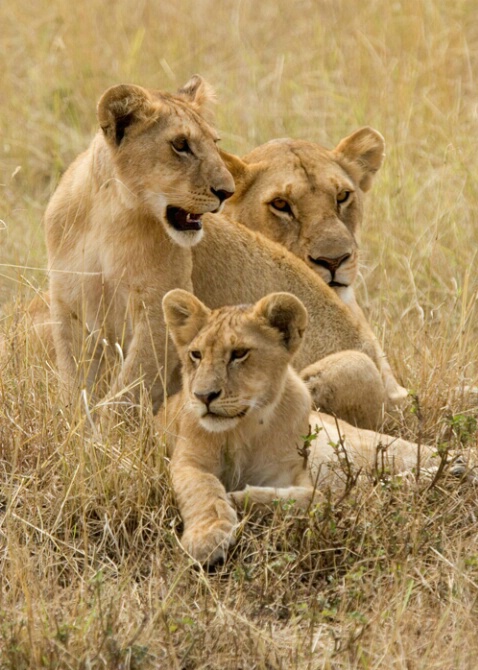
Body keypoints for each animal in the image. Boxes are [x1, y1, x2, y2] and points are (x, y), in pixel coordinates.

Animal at [158, 292, 448, 568]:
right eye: (196, 355)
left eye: (239, 353)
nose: (203, 396)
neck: (245, 427)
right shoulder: (187, 461)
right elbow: (202, 488)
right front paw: (207, 537)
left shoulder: (288, 471)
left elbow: (315, 497)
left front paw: (241, 498)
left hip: (374, 447)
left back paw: (451, 468)